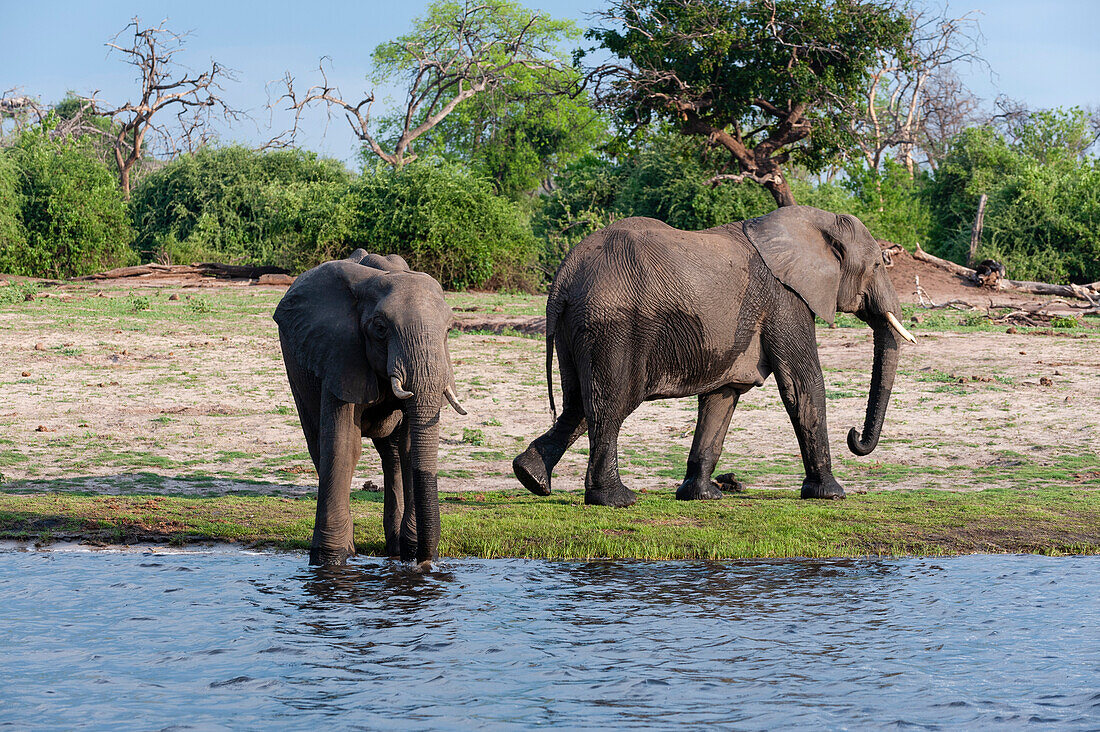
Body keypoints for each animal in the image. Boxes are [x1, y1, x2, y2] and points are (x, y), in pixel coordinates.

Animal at [277, 250, 466, 563]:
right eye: (380, 328)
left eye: (449, 329)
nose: (425, 562)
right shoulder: (340, 353)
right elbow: (344, 445)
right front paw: (332, 558)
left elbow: (410, 448)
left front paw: (411, 552)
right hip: (296, 367)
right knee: (319, 445)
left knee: (392, 454)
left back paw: (398, 549)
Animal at [514, 202, 919, 506]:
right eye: (879, 265)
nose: (855, 435)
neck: (812, 222)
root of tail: (565, 275)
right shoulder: (785, 298)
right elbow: (802, 385)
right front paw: (831, 494)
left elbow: (722, 396)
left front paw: (702, 496)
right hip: (612, 323)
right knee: (611, 403)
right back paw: (616, 499)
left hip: (576, 325)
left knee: (578, 403)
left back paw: (530, 477)